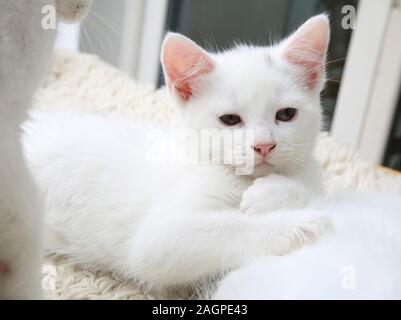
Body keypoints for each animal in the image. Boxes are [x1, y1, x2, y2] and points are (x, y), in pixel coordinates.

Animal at [23, 14, 332, 290]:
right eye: (230, 119)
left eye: (287, 114)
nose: (264, 144)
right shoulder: (159, 239)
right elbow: (225, 229)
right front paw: (303, 224)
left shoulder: (312, 173)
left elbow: (316, 190)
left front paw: (275, 194)